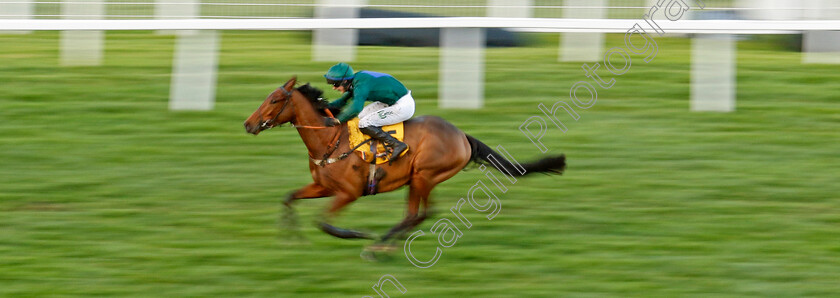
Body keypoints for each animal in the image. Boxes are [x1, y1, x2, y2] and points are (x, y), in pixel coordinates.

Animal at [243, 77, 564, 247]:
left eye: (274, 100)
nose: (248, 124)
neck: (329, 139)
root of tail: (461, 135)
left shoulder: (349, 192)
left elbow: (324, 222)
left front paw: (356, 234)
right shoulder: (323, 187)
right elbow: (289, 198)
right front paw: (291, 238)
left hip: (424, 175)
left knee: (417, 214)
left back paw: (379, 245)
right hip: (417, 179)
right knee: (419, 214)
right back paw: (386, 243)